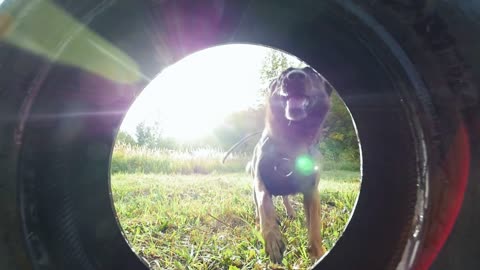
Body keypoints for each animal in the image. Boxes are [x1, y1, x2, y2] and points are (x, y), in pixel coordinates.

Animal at [248, 67, 330, 264]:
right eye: (282, 75)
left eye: (312, 72)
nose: (294, 77)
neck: (291, 139)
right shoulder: (260, 180)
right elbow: (265, 204)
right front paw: (272, 238)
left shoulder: (312, 190)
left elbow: (315, 225)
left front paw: (318, 252)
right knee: (259, 204)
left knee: (285, 198)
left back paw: (291, 212)